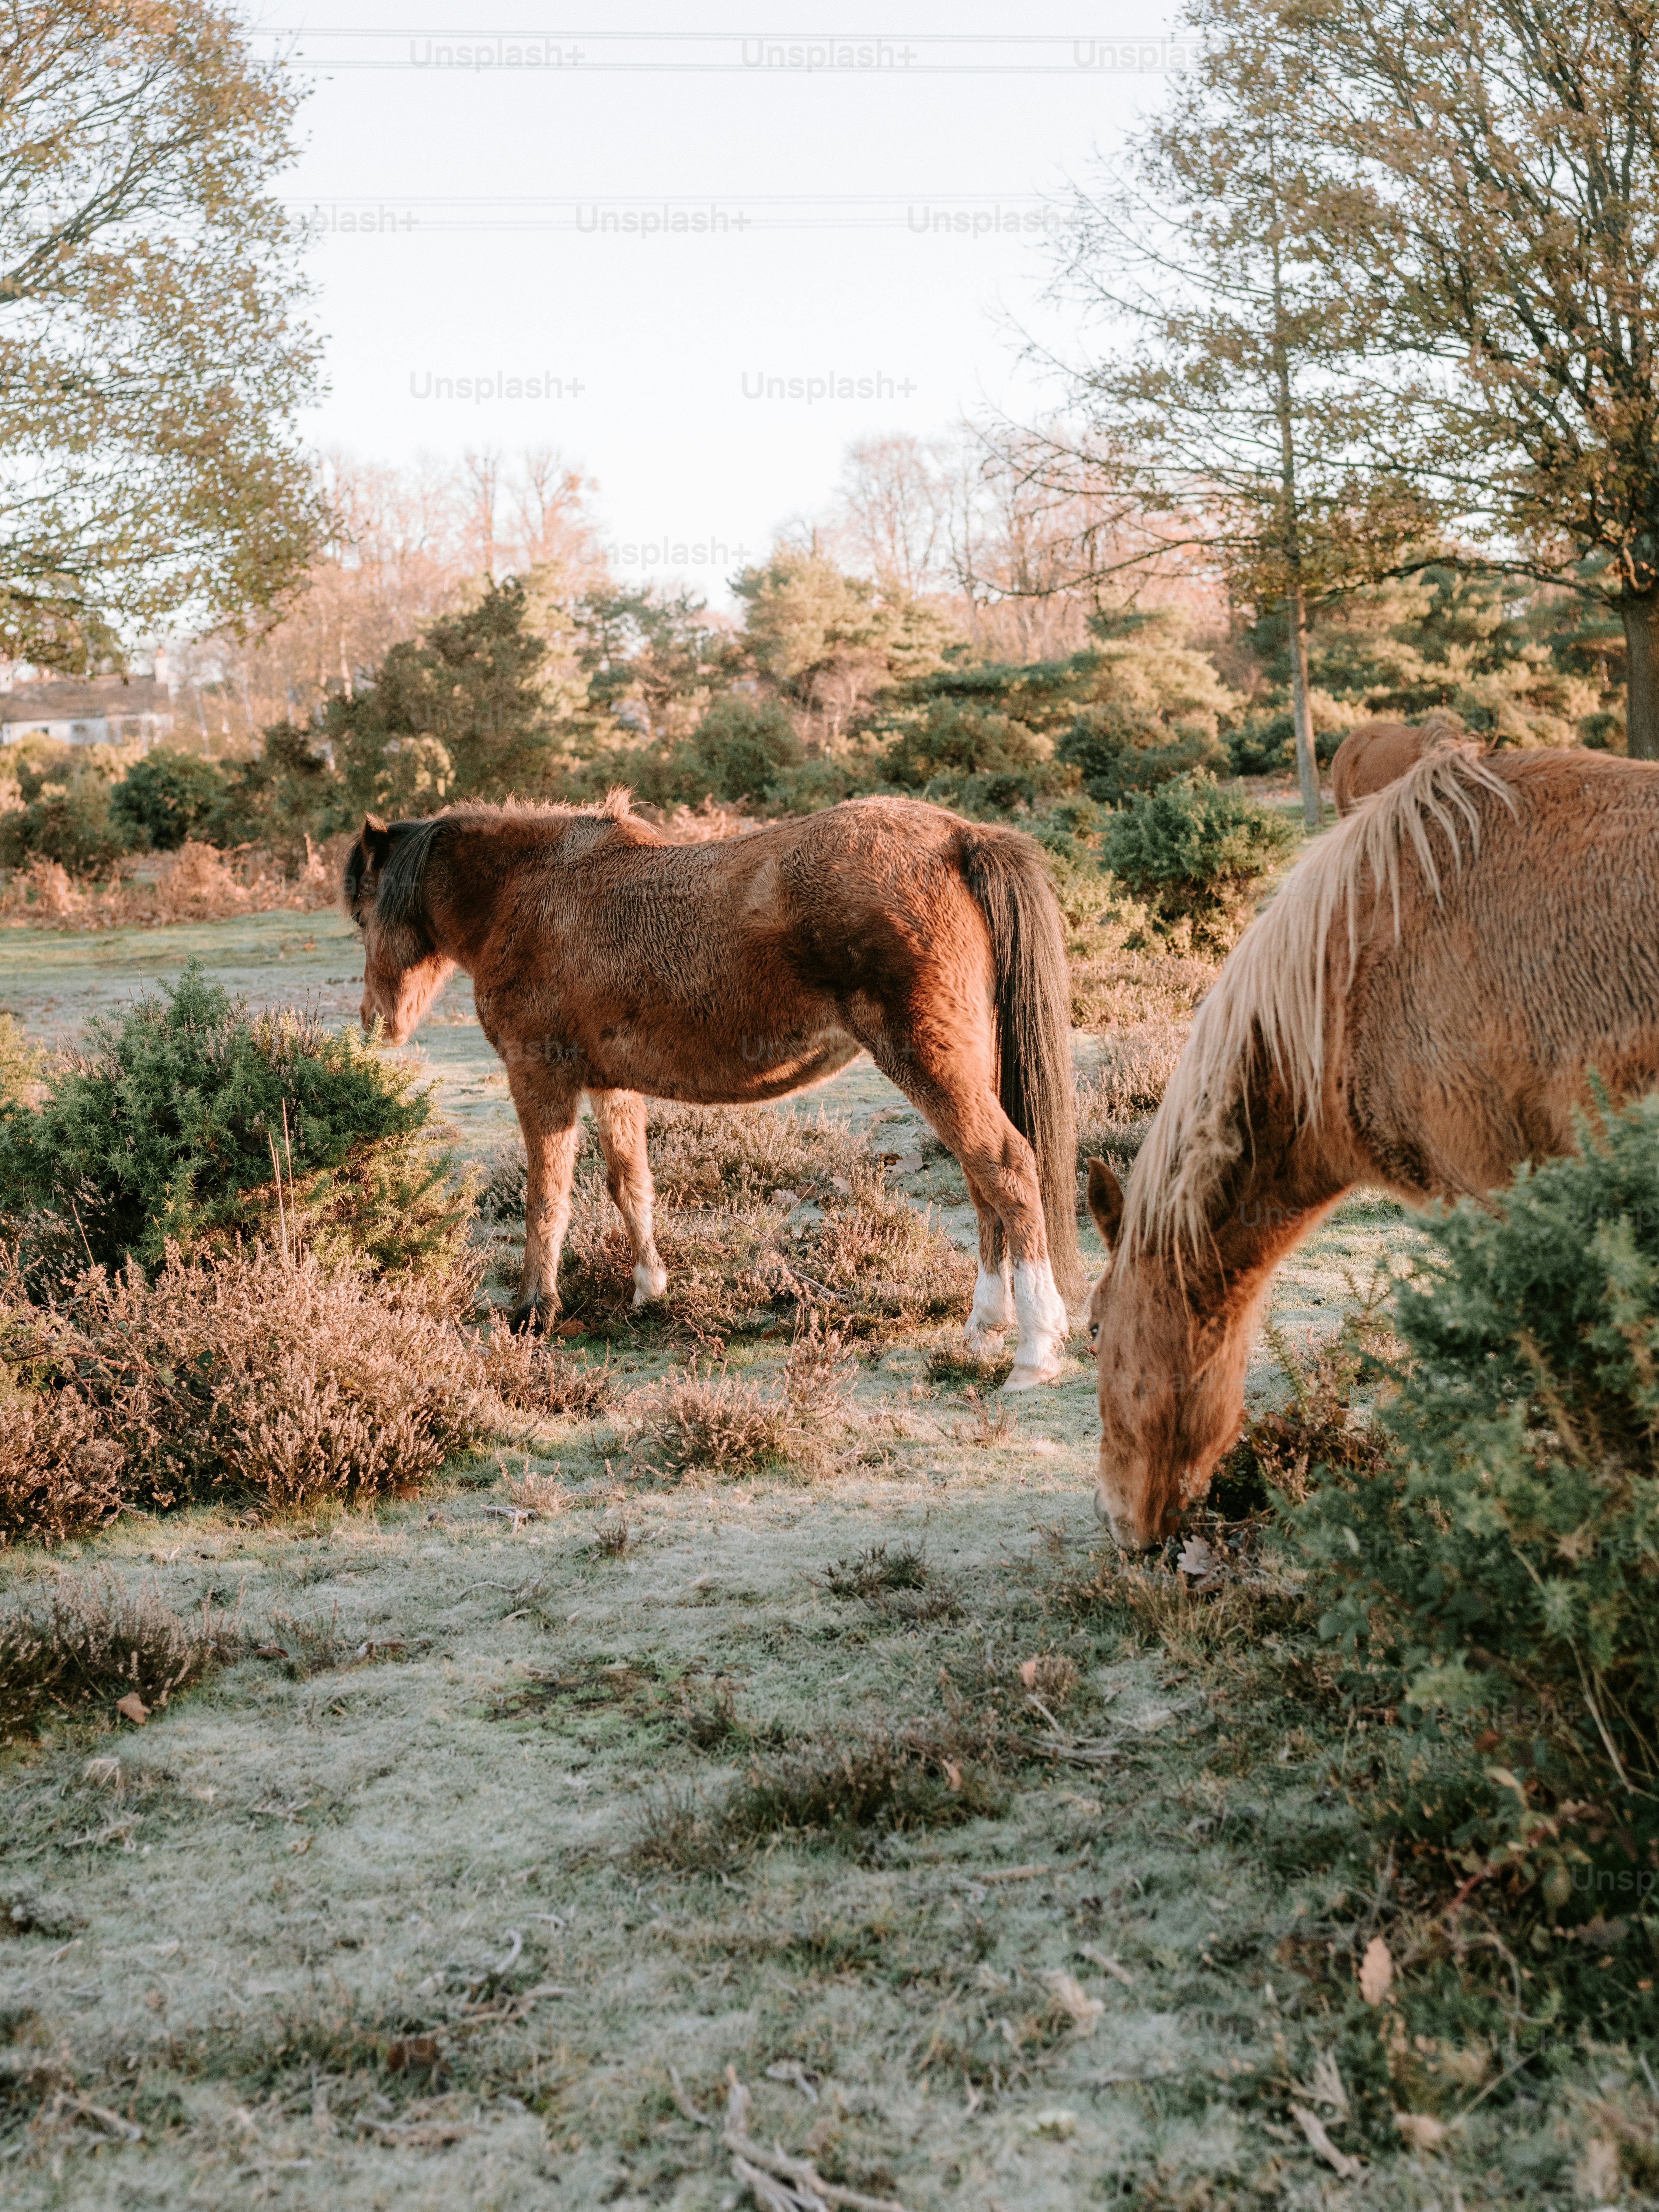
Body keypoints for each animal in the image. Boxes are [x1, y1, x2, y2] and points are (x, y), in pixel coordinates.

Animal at [343, 791, 1083, 1388]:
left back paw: (1035, 1350)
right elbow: (630, 1185)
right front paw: (649, 1290)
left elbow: (545, 1201)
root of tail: (959, 838)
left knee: (1007, 1168)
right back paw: (985, 1326)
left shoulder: (541, 1077)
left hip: (931, 1063)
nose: (376, 1022)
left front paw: (534, 1312)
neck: (530, 890)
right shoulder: (611, 1086)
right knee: (983, 1183)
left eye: (362, 914)